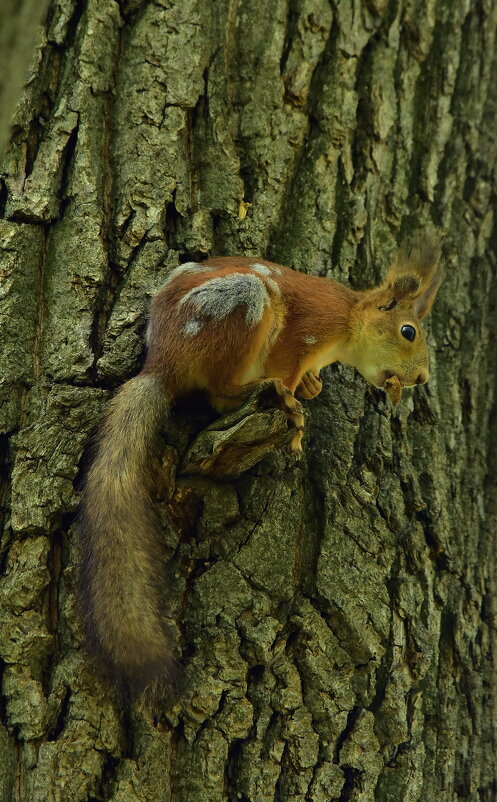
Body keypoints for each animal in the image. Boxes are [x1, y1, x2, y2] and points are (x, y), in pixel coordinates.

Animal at [77, 238, 442, 692]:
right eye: (408, 331)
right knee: (220, 392)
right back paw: (267, 390)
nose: (422, 379)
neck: (349, 319)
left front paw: (312, 385)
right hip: (239, 305)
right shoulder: (307, 332)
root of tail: (162, 366)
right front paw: (294, 407)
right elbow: (289, 367)